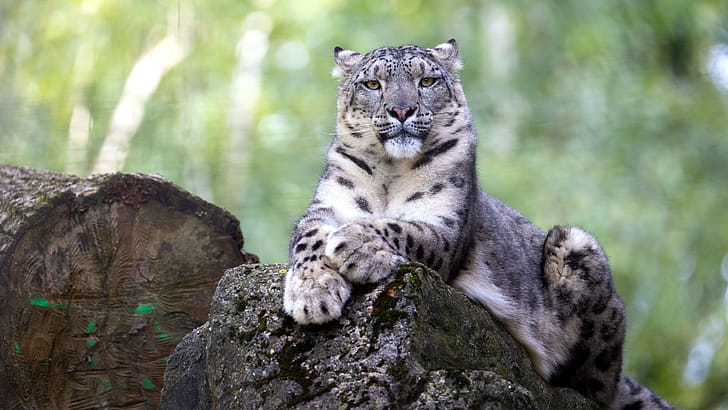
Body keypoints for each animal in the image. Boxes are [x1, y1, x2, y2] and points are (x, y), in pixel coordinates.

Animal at [282, 39, 673, 409]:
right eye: (372, 84)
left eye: (427, 81)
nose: (402, 110)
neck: (389, 174)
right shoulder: (326, 207)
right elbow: (308, 238)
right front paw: (313, 294)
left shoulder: (445, 226)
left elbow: (404, 229)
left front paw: (357, 247)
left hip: (578, 248)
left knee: (594, 386)